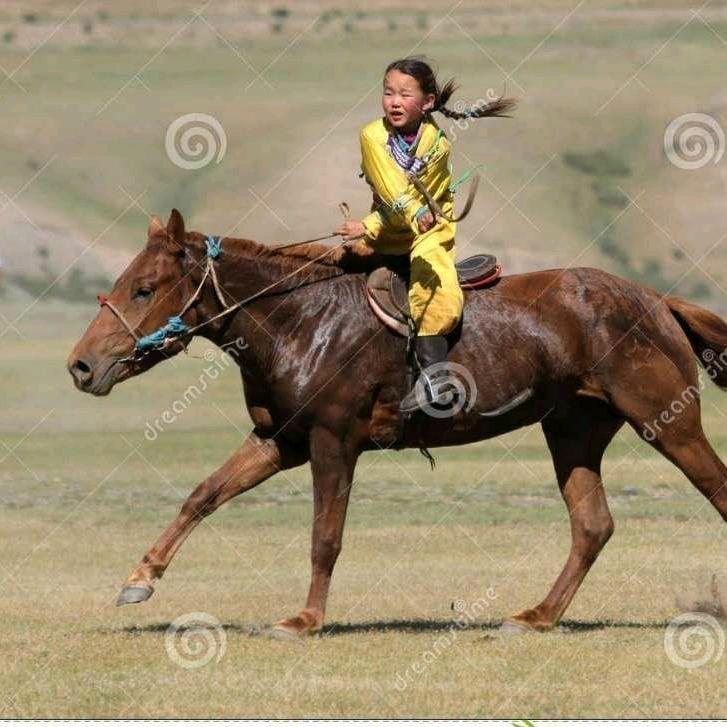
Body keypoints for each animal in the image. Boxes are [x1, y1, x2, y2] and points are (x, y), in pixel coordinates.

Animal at [67, 209, 727, 638]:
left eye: (144, 288)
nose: (81, 365)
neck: (300, 320)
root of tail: (657, 301)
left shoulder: (333, 442)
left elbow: (325, 536)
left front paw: (305, 621)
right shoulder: (279, 442)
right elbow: (202, 496)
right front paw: (140, 579)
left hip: (667, 423)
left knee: (714, 490)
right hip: (573, 431)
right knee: (592, 526)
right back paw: (536, 617)